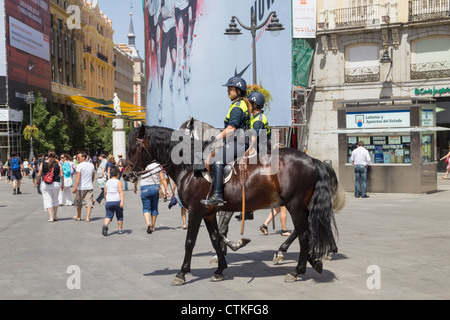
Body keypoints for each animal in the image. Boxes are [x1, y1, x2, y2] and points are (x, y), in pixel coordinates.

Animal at [123, 124, 344, 284]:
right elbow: (215, 238)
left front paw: (182, 273)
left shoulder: (195, 211)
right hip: (302, 207)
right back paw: (311, 260)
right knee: (307, 230)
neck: (190, 166)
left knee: (305, 234)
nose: (125, 175)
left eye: (133, 149)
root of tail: (312, 160)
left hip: (295, 206)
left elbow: (190, 242)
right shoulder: (208, 212)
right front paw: (220, 268)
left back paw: (297, 270)